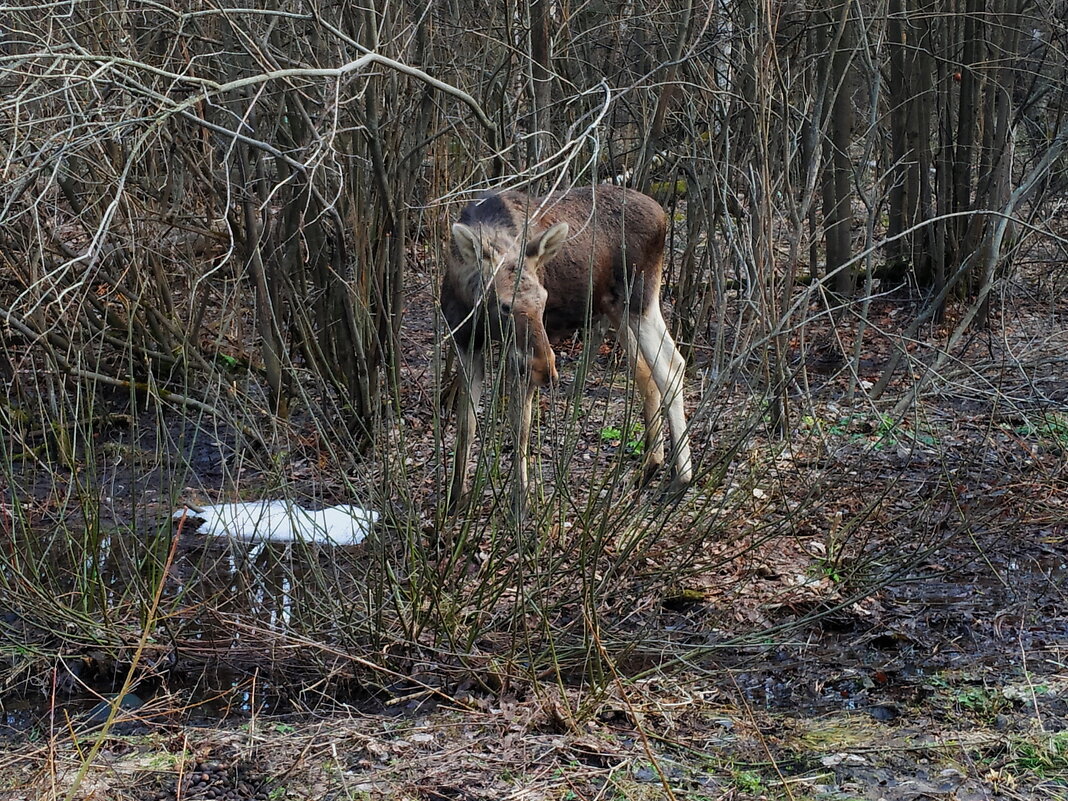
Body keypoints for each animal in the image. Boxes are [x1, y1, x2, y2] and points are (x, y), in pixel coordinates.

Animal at [440, 184, 692, 508]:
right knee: (645, 372)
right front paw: (455, 499)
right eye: (505, 305)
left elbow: (519, 427)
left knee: (670, 366)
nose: (546, 369)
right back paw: (650, 465)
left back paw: (679, 479)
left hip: (640, 299)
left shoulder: (517, 356)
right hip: (615, 308)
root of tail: (663, 216)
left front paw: (520, 503)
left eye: (544, 299)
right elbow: (466, 424)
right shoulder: (465, 340)